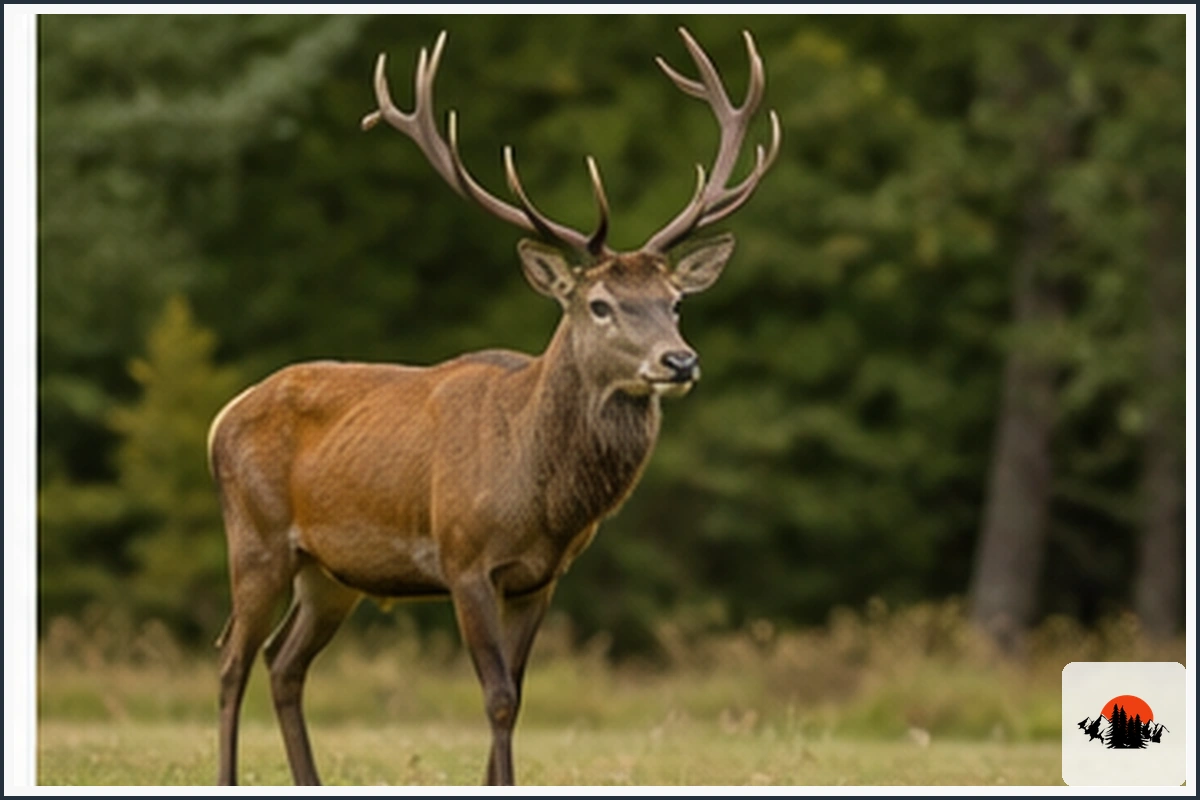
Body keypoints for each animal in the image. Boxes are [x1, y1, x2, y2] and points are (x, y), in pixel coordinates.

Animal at [209, 27, 779, 786]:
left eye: (676, 302)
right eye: (600, 304)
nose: (679, 362)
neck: (542, 499)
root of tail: (224, 414)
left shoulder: (543, 577)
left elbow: (520, 692)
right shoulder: (464, 558)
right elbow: (499, 696)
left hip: (330, 574)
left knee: (284, 662)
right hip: (257, 538)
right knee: (230, 660)